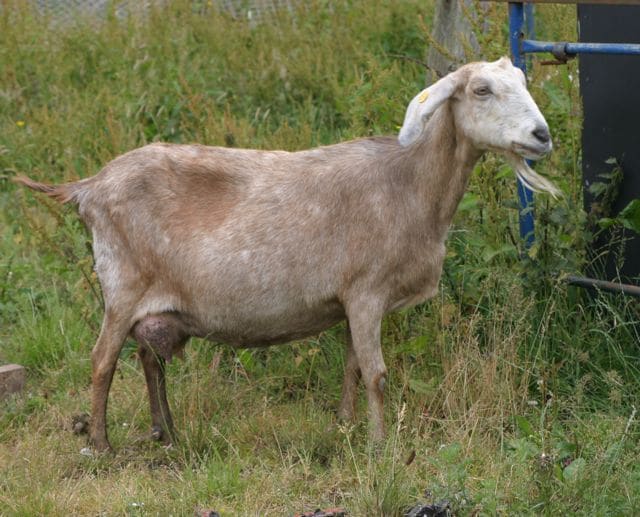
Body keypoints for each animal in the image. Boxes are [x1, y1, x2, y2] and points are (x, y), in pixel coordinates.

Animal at [15, 57, 558, 452]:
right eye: (481, 90)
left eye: (522, 81)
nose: (542, 135)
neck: (407, 184)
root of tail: (87, 187)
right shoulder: (367, 292)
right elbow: (377, 375)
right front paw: (381, 447)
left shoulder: (351, 301)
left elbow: (353, 368)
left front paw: (344, 428)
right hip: (121, 285)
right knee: (102, 361)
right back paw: (102, 445)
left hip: (153, 301)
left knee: (149, 358)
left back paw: (166, 433)